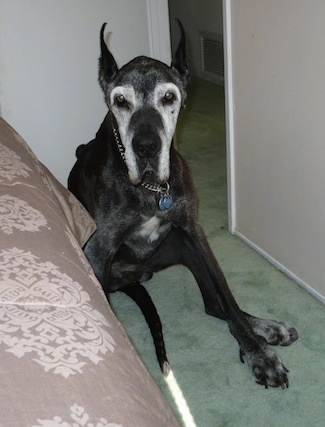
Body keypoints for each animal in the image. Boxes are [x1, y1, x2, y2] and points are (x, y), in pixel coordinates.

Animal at [68, 19, 296, 388]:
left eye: (169, 97)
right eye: (120, 101)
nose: (147, 146)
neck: (151, 189)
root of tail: (136, 273)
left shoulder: (193, 230)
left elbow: (228, 299)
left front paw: (259, 354)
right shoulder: (98, 250)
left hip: (182, 246)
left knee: (216, 304)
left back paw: (266, 329)